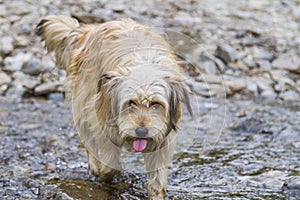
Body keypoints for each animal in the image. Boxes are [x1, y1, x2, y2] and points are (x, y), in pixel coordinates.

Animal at [36, 14, 192, 199]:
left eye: (156, 104)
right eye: (130, 102)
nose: (141, 131)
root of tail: (89, 30)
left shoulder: (163, 137)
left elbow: (157, 180)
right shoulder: (103, 120)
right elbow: (110, 164)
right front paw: (104, 174)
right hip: (83, 102)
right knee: (87, 139)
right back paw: (95, 165)